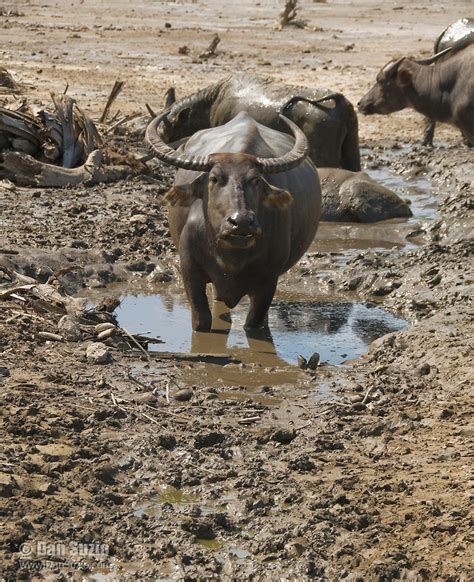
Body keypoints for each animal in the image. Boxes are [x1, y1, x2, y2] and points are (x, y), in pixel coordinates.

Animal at [145, 111, 322, 334]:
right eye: (214, 178)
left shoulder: (269, 281)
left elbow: (254, 324)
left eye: (256, 180)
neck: (232, 257)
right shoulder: (190, 271)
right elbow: (202, 321)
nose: (242, 222)